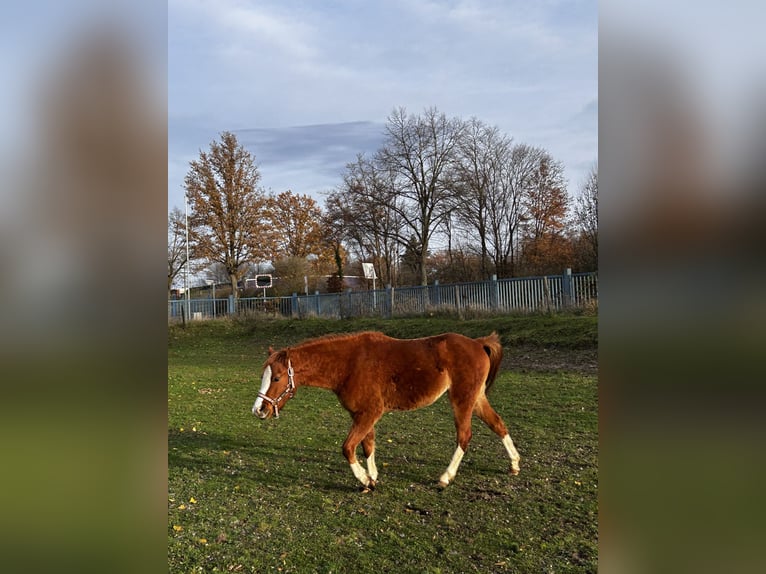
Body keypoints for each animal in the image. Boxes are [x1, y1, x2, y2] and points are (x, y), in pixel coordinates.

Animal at [252, 332, 520, 490]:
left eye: (276, 378)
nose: (259, 410)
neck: (350, 364)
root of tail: (478, 343)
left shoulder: (370, 413)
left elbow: (348, 447)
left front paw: (364, 480)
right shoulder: (361, 414)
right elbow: (367, 446)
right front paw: (372, 477)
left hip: (461, 400)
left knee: (464, 436)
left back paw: (445, 477)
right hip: (477, 399)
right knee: (499, 424)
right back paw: (514, 464)